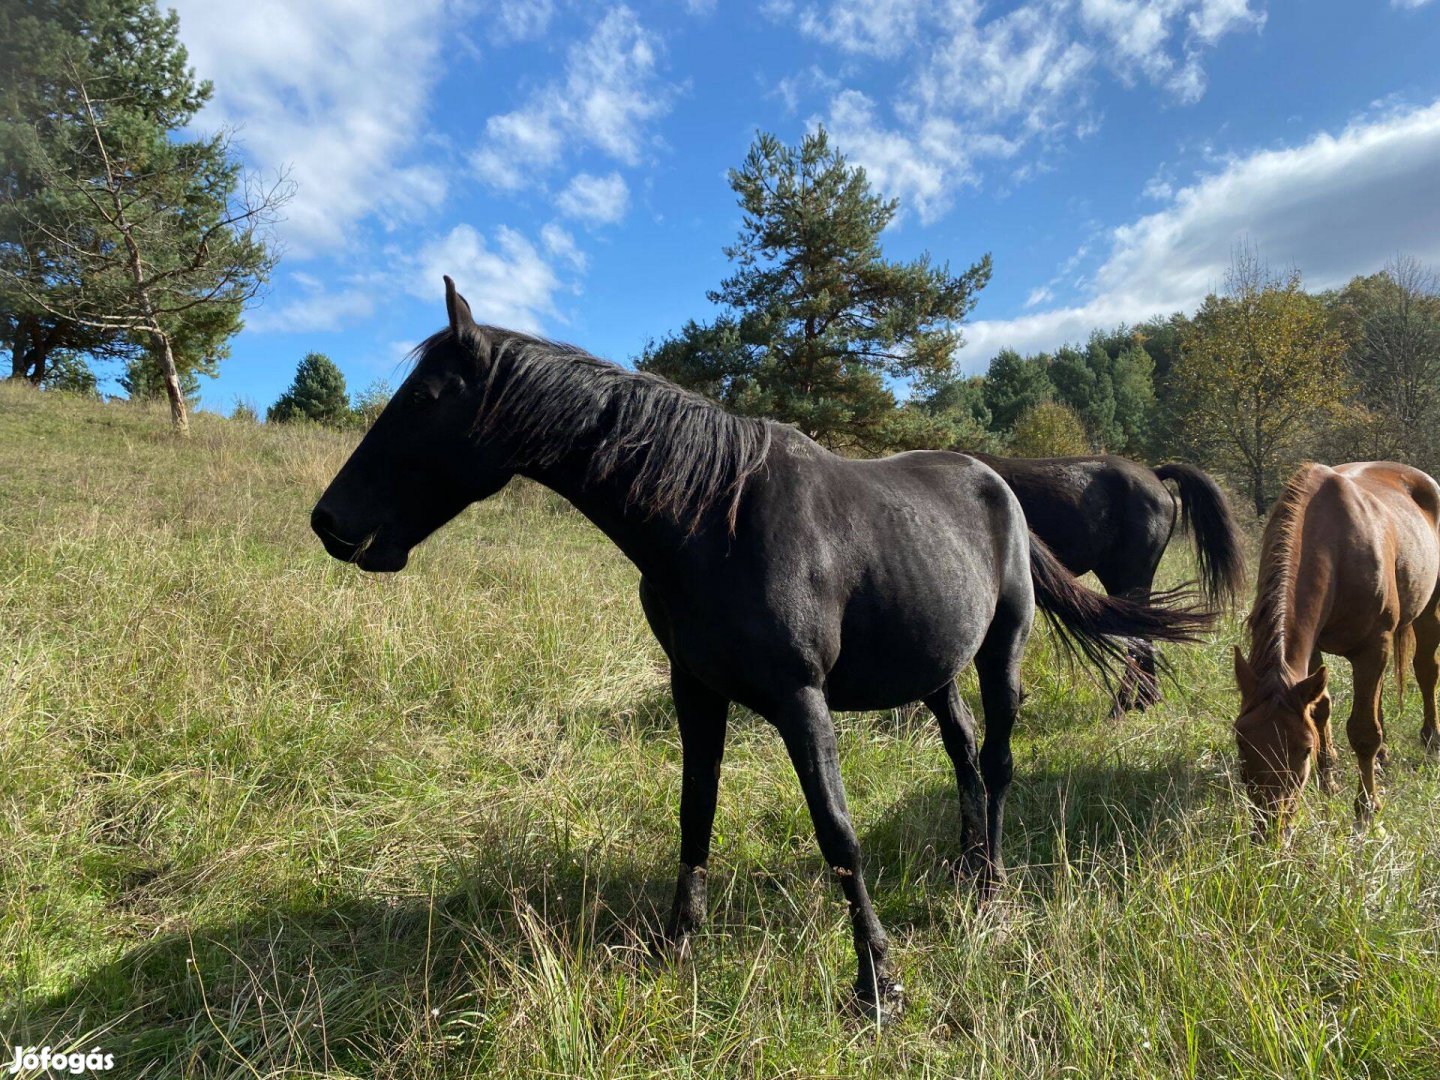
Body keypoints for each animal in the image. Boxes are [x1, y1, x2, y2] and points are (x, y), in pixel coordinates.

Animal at [309, 276, 1209, 1013]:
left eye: (427, 396)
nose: (330, 523)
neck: (710, 518)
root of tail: (1000, 487)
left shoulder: (801, 701)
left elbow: (838, 834)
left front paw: (877, 983)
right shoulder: (696, 691)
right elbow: (694, 810)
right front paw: (676, 945)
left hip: (1001, 654)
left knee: (996, 762)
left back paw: (988, 889)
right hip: (936, 670)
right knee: (961, 755)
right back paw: (966, 868)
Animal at [1232, 457, 1440, 835]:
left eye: (1302, 749)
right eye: (1242, 741)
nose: (1270, 828)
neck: (1337, 548)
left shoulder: (1374, 645)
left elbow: (1363, 731)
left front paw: (1366, 809)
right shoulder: (1314, 648)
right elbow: (1321, 709)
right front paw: (1327, 780)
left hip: (1428, 609)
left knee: (1426, 670)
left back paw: (1431, 739)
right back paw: (1383, 757)